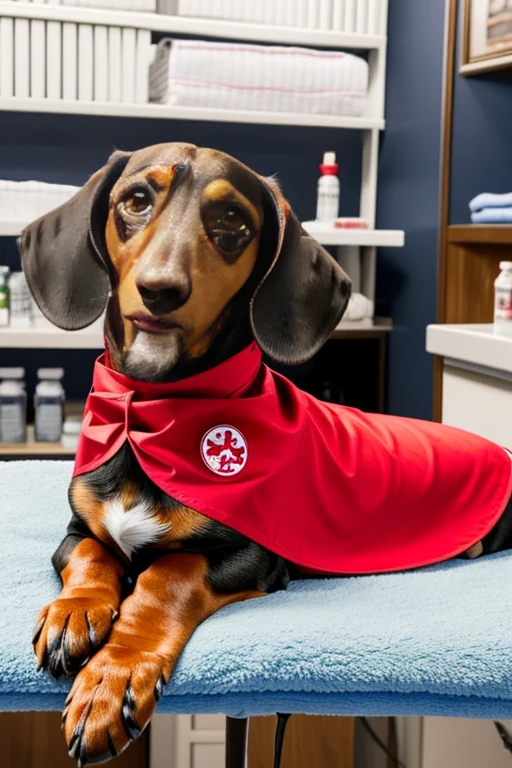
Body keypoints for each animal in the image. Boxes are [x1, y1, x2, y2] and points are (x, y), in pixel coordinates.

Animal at [20, 141, 512, 764]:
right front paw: (74, 611)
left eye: (233, 221)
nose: (160, 290)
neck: (152, 412)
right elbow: (90, 554)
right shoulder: (78, 527)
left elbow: (167, 574)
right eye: (135, 200)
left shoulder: (251, 554)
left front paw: (113, 676)